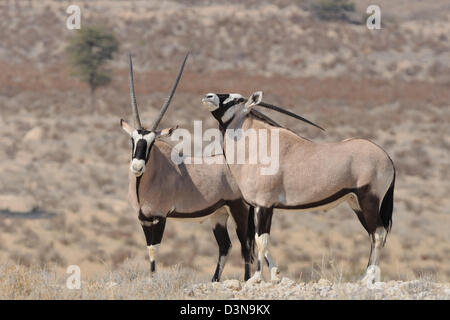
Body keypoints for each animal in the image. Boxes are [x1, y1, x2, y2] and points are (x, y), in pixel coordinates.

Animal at [119, 55, 255, 282]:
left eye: (152, 142)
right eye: (133, 140)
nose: (137, 166)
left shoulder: (160, 217)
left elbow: (155, 248)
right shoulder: (143, 219)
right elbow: (149, 249)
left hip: (239, 209)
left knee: (245, 245)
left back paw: (246, 280)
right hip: (219, 215)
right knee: (225, 246)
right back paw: (214, 281)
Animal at [202, 91, 396, 284]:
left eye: (236, 100)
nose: (208, 97)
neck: (256, 145)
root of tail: (388, 158)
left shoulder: (264, 205)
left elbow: (261, 240)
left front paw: (256, 278)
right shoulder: (259, 206)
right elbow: (260, 239)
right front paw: (275, 275)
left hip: (368, 200)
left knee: (378, 233)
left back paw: (367, 278)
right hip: (356, 203)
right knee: (373, 234)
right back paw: (367, 277)